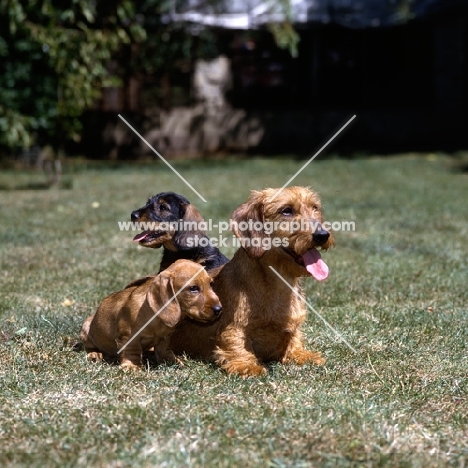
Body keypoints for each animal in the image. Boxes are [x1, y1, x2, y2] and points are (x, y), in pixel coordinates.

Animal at [79, 260, 222, 370]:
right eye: (193, 288)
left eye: (211, 284)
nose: (219, 309)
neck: (155, 319)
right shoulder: (129, 338)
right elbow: (132, 352)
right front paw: (132, 366)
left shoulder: (165, 338)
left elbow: (164, 351)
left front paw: (173, 361)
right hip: (86, 327)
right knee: (89, 347)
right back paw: (94, 354)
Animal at [170, 186, 334, 376]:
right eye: (286, 210)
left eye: (315, 207)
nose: (322, 235)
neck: (277, 284)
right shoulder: (232, 327)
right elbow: (235, 341)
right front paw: (246, 365)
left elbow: (294, 339)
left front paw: (302, 354)